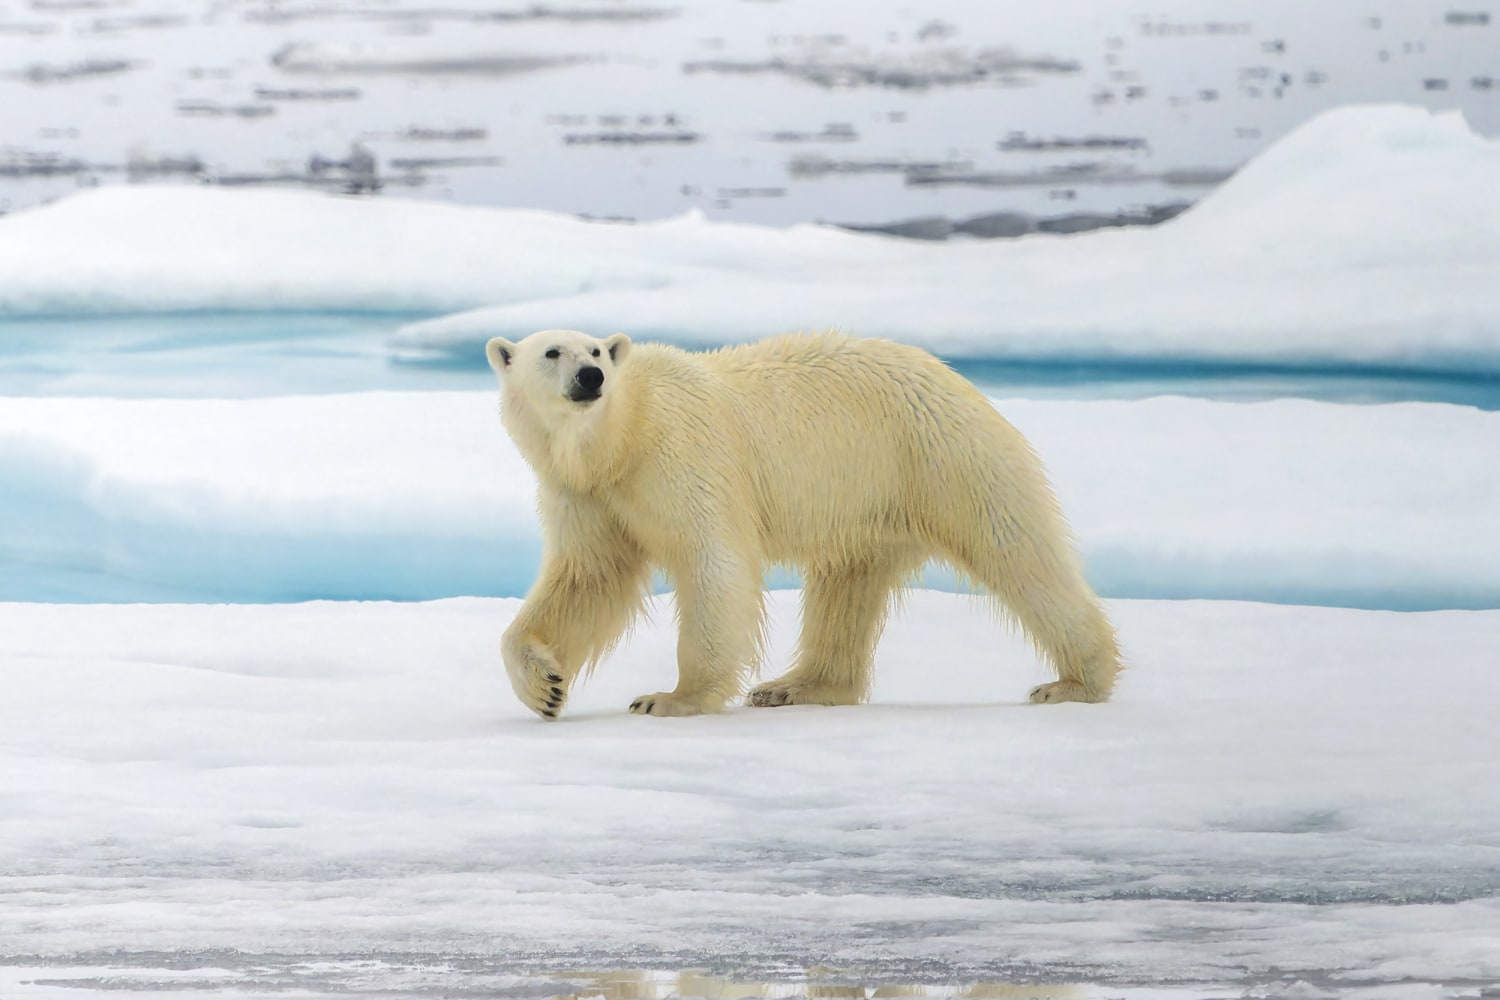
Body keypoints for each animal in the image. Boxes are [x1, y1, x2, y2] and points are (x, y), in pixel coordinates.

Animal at [486, 328, 1121, 720]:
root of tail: (952, 377)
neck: (621, 437)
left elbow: (714, 563)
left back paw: (1074, 682)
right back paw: (795, 686)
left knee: (1018, 552)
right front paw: (545, 688)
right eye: (552, 352)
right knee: (846, 587)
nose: (590, 377)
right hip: (870, 502)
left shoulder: (683, 458)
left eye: (595, 349)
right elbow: (587, 578)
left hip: (941, 455)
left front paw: (670, 698)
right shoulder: (587, 494)